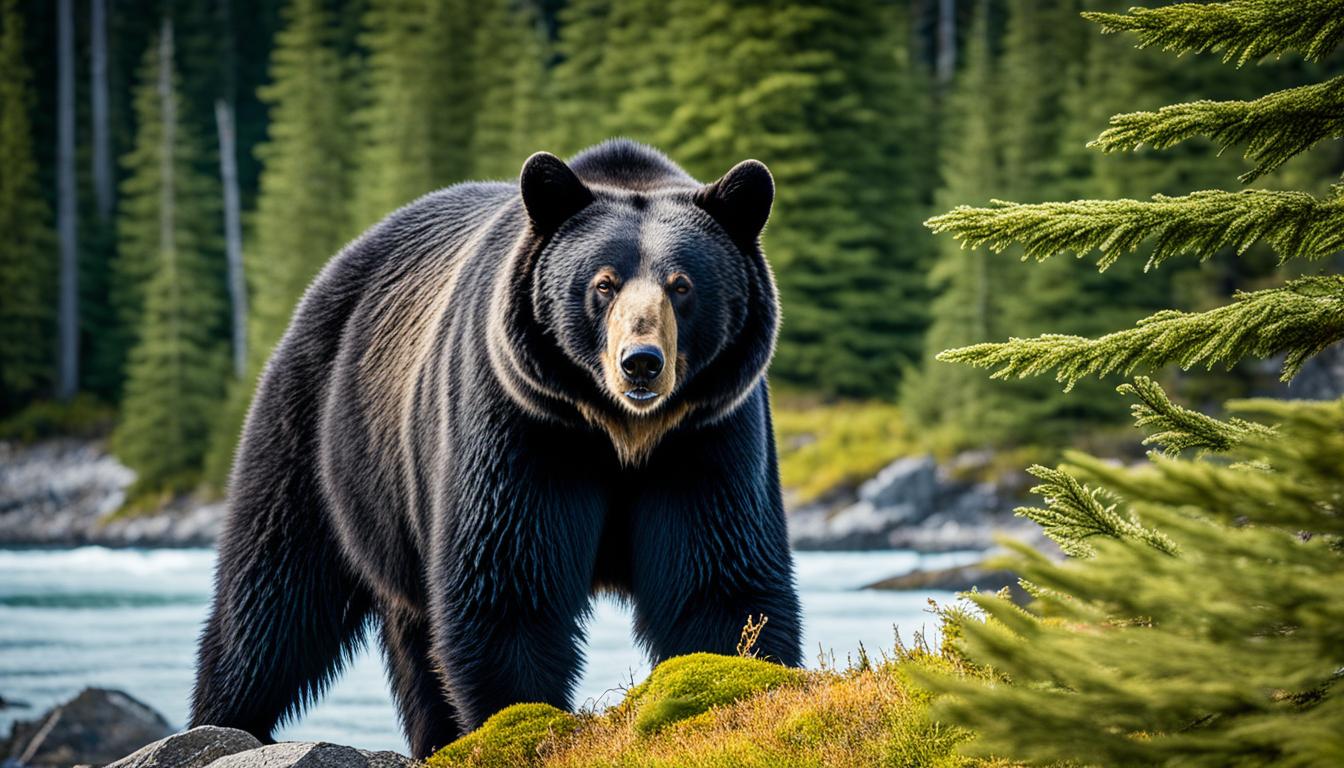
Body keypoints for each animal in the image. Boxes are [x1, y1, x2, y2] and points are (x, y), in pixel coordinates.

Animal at [189, 138, 795, 758]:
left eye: (682, 284)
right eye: (604, 283)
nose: (641, 362)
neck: (618, 433)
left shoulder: (707, 438)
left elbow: (715, 582)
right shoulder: (519, 424)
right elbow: (507, 584)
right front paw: (521, 718)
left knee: (410, 637)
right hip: (319, 427)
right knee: (274, 591)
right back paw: (225, 719)